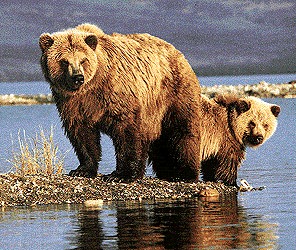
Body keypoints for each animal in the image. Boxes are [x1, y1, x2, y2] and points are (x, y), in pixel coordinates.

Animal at [38, 23, 201, 182]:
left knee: (181, 130)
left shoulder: (116, 92)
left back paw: (183, 173)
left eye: (83, 60)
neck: (92, 86)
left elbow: (126, 131)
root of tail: (178, 53)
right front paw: (82, 170)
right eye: (64, 61)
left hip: (173, 93)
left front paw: (120, 174)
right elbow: (82, 133)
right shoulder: (73, 102)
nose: (78, 77)